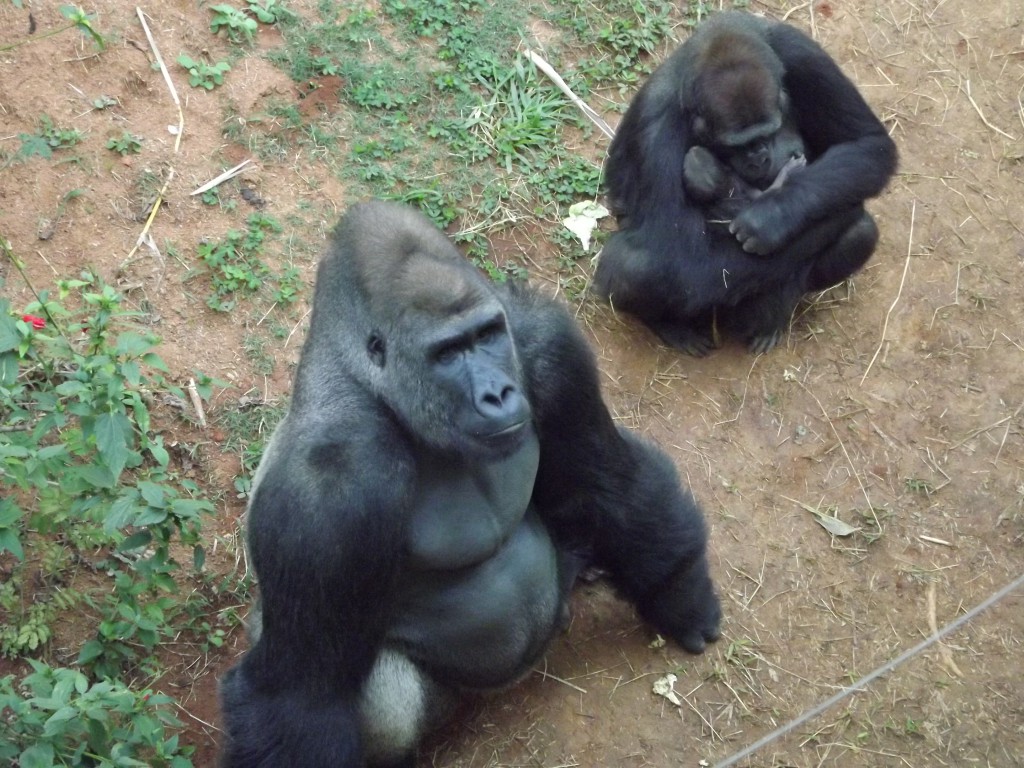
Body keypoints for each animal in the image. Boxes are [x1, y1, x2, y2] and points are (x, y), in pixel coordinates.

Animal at [220, 199, 724, 768]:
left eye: (485, 337)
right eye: (447, 353)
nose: (498, 394)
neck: (379, 391)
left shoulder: (545, 342)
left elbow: (610, 484)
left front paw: (681, 597)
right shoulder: (326, 490)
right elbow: (301, 696)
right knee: (381, 697)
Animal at [593, 10, 897, 356]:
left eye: (767, 133)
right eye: (737, 145)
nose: (759, 156)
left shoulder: (803, 53)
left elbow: (869, 145)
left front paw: (771, 218)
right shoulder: (656, 120)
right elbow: (679, 255)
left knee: (860, 232)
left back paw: (773, 321)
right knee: (635, 266)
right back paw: (670, 325)